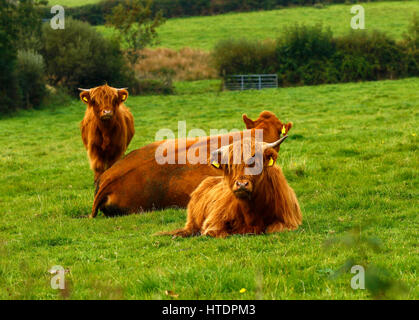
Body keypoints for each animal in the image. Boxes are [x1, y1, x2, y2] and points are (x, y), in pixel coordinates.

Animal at [159, 136, 304, 238]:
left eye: (255, 162)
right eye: (229, 165)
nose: (242, 184)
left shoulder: (289, 221)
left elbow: (272, 229)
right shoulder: (213, 223)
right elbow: (218, 232)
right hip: (192, 220)